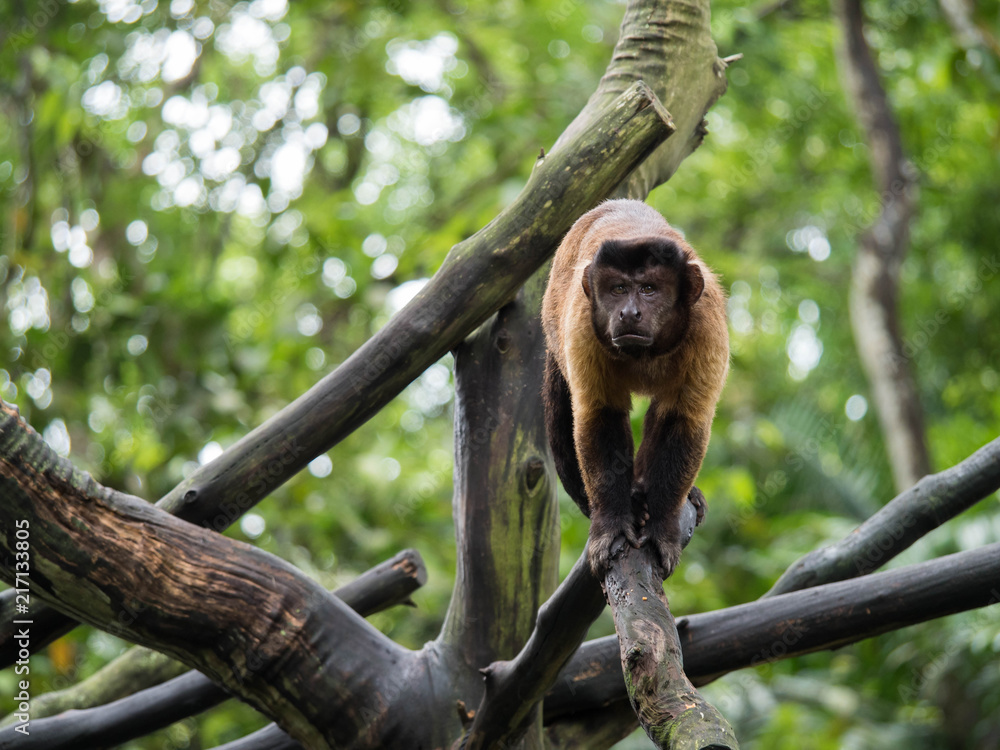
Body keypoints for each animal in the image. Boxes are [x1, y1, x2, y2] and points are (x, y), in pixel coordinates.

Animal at [541, 199, 729, 578]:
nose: (629, 312)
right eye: (618, 289)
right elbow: (599, 414)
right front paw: (612, 524)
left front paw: (660, 527)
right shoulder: (583, 322)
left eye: (648, 289)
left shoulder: (707, 322)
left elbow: (684, 419)